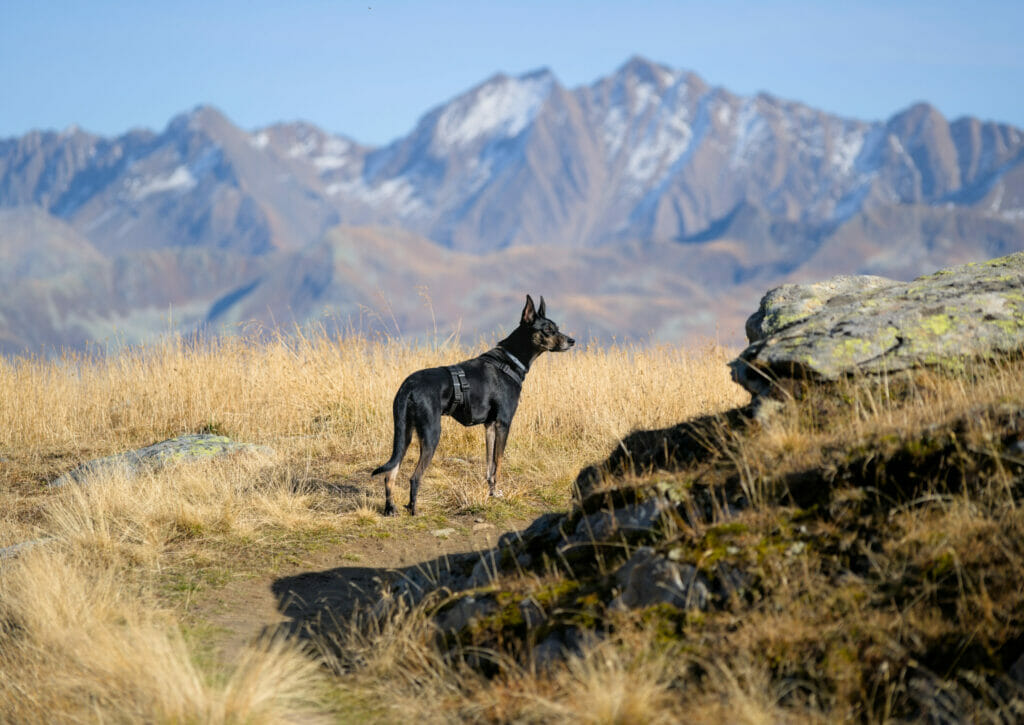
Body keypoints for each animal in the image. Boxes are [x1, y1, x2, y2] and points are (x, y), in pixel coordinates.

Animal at [370, 294, 577, 516]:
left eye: (556, 327)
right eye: (548, 330)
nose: (572, 341)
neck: (511, 360)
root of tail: (409, 386)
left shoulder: (490, 426)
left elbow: (489, 465)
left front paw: (492, 492)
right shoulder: (503, 423)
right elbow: (498, 462)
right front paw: (498, 494)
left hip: (404, 434)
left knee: (390, 473)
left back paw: (390, 508)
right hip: (431, 434)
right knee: (414, 477)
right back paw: (414, 510)